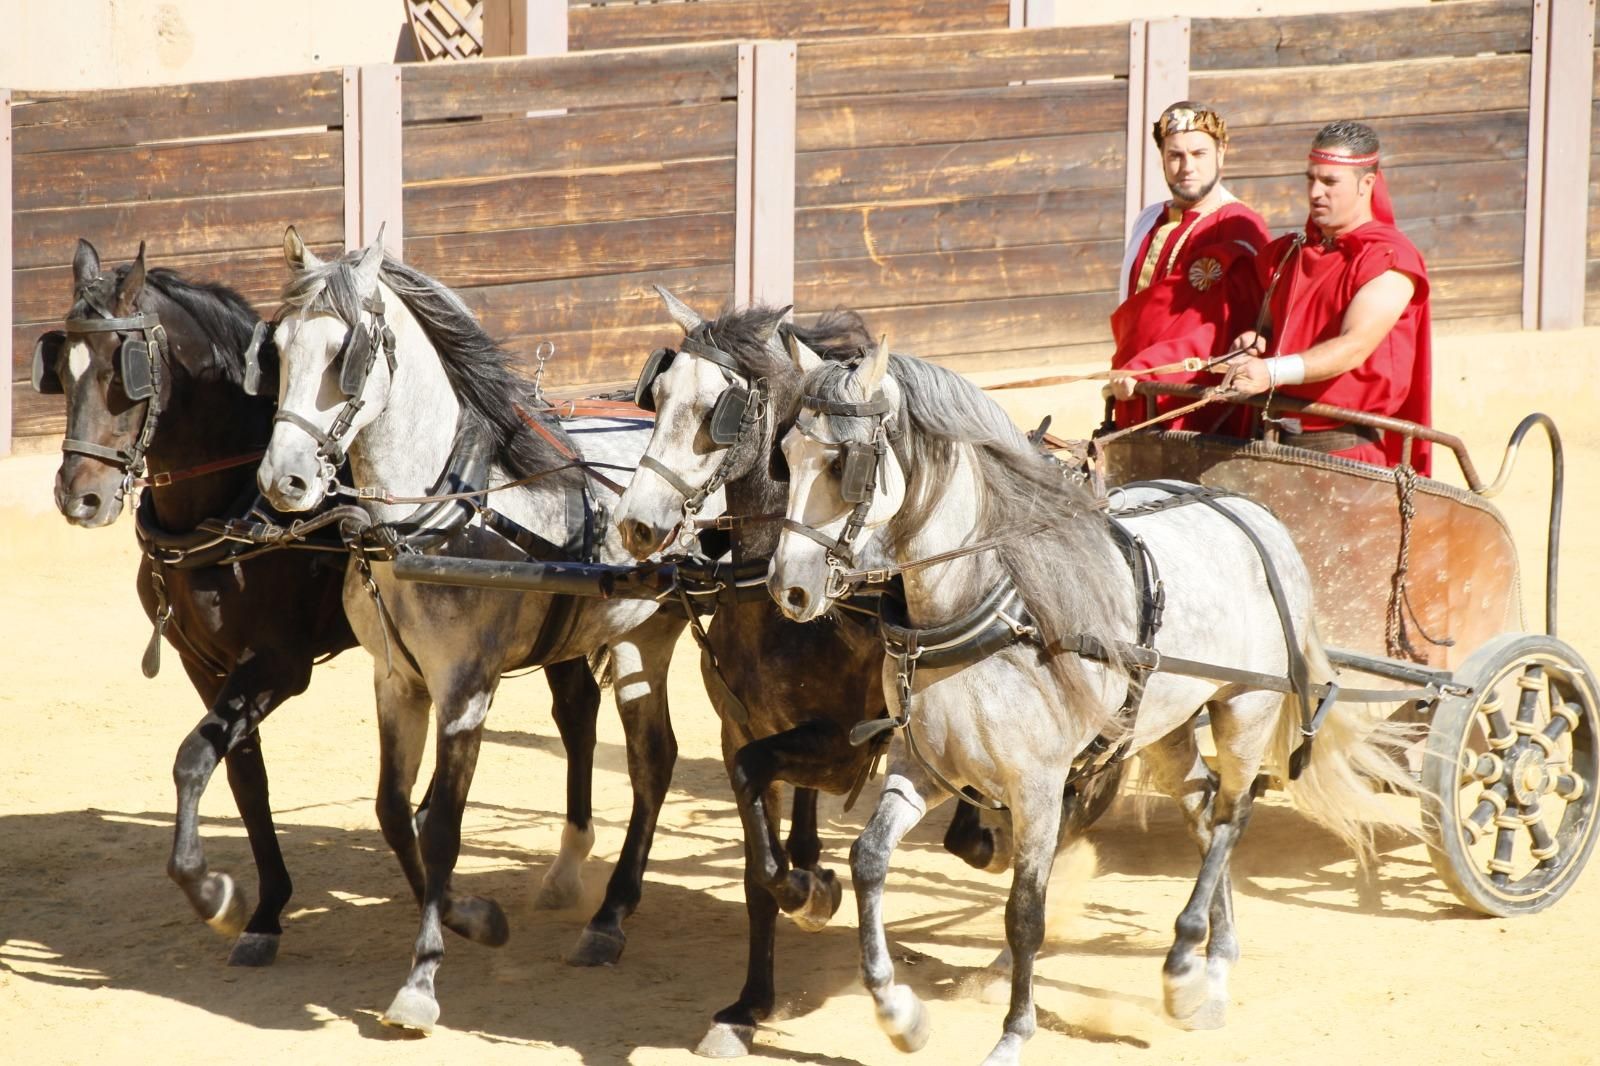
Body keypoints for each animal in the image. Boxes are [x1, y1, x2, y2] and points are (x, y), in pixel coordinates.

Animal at [34, 238, 601, 960]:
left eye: (123, 371)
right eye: (63, 367)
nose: (79, 496)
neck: (229, 504)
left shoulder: (278, 665)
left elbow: (192, 758)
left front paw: (213, 893)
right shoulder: (205, 664)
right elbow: (240, 775)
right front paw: (264, 908)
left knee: (576, 712)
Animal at [256, 228, 688, 1030]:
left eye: (347, 355)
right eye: (278, 349)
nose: (284, 480)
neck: (430, 517)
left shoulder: (465, 690)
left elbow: (442, 826)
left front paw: (422, 979)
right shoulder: (397, 681)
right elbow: (396, 812)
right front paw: (474, 918)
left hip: (648, 637)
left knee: (654, 760)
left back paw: (612, 916)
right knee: (600, 730)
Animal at [771, 337, 1414, 1062]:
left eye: (843, 463)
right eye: (785, 455)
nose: (788, 589)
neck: (988, 600)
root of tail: (1257, 519)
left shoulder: (1037, 785)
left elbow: (1025, 910)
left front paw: (1013, 1034)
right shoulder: (924, 770)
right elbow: (868, 861)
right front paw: (896, 1011)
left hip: (1244, 708)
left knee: (1232, 816)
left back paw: (1187, 962)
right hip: (1161, 728)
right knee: (1202, 810)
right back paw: (1213, 962)